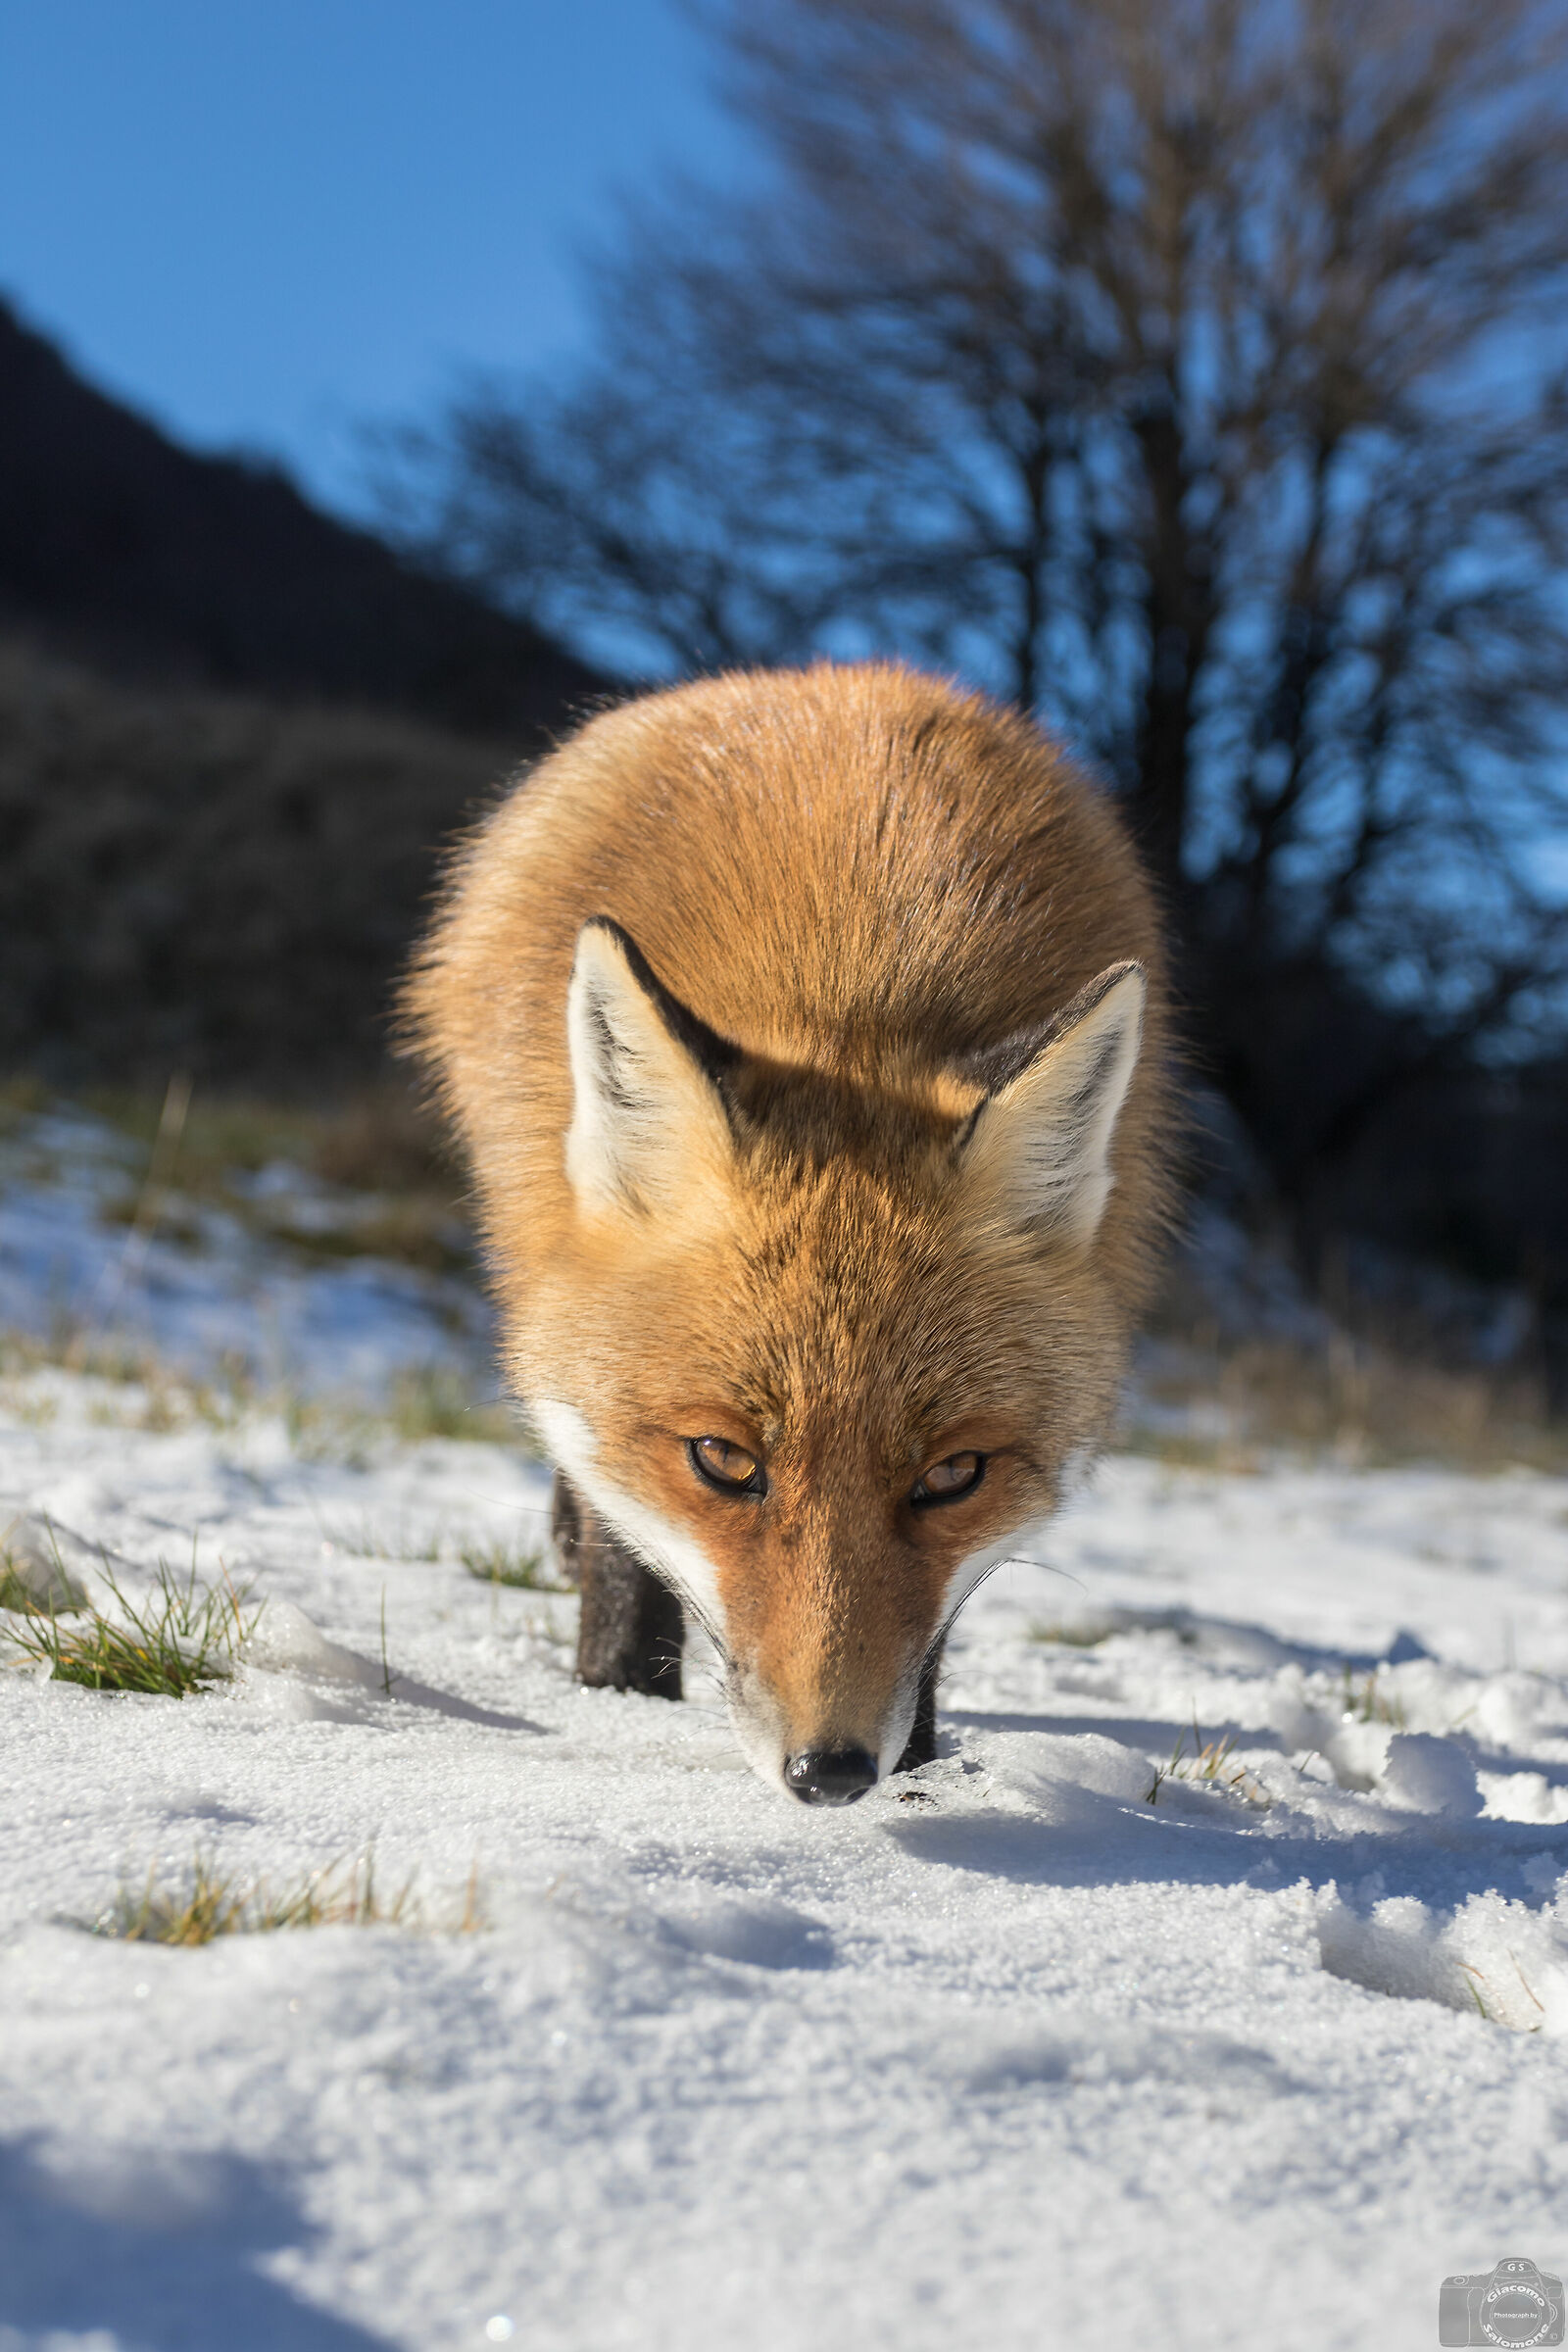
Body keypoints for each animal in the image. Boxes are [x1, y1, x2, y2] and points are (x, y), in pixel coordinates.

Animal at [405, 662, 1170, 1805]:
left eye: (953, 1476)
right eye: (722, 1459)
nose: (832, 1773)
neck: (855, 987)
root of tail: (834, 673)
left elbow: (930, 1634)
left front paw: (925, 1763)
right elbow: (620, 1533)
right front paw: (612, 1693)